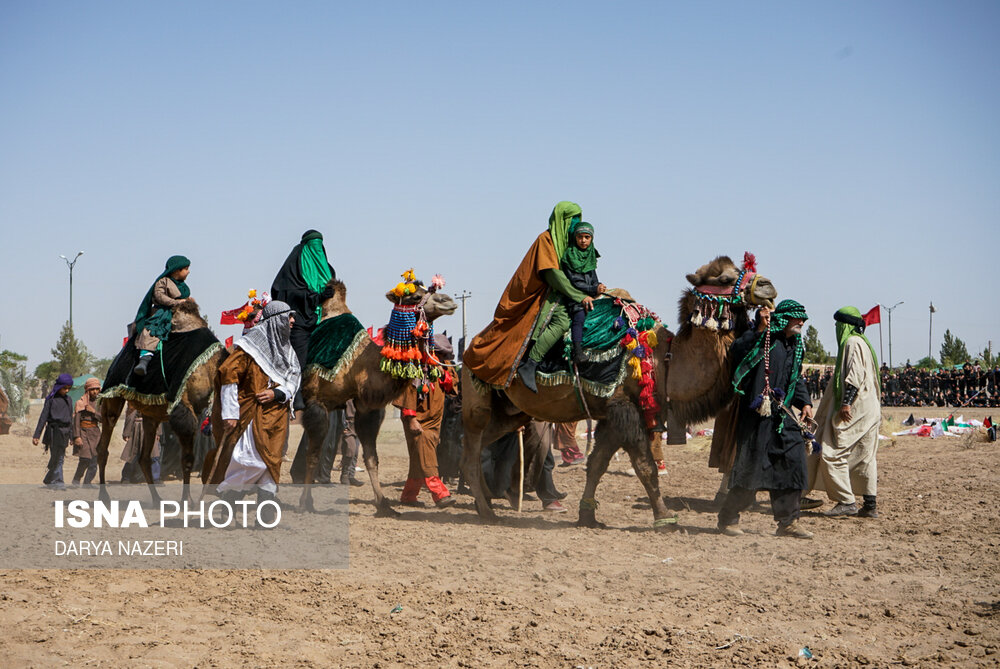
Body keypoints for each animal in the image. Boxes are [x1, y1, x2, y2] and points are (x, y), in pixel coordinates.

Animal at [95, 300, 225, 504]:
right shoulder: (183, 407)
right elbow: (187, 459)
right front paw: (188, 500)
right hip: (113, 393)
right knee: (103, 445)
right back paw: (104, 496)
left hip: (151, 413)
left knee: (144, 457)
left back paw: (157, 499)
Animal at [294, 280, 456, 516]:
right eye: (415, 296)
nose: (448, 301)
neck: (357, 366)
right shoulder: (317, 402)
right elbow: (313, 454)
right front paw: (306, 503)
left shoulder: (368, 408)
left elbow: (372, 458)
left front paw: (384, 505)